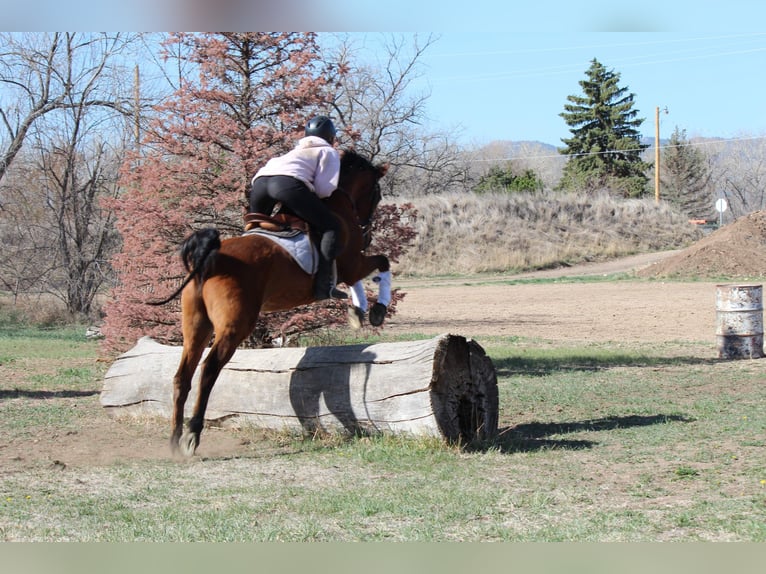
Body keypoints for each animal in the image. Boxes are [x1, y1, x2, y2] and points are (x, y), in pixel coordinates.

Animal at [153, 149, 390, 457]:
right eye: (377, 193)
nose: (368, 232)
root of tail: (210, 257)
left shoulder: (351, 268)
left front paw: (357, 310)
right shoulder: (353, 265)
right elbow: (382, 263)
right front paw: (375, 310)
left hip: (196, 325)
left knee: (182, 376)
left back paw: (174, 438)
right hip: (235, 326)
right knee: (208, 370)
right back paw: (192, 433)